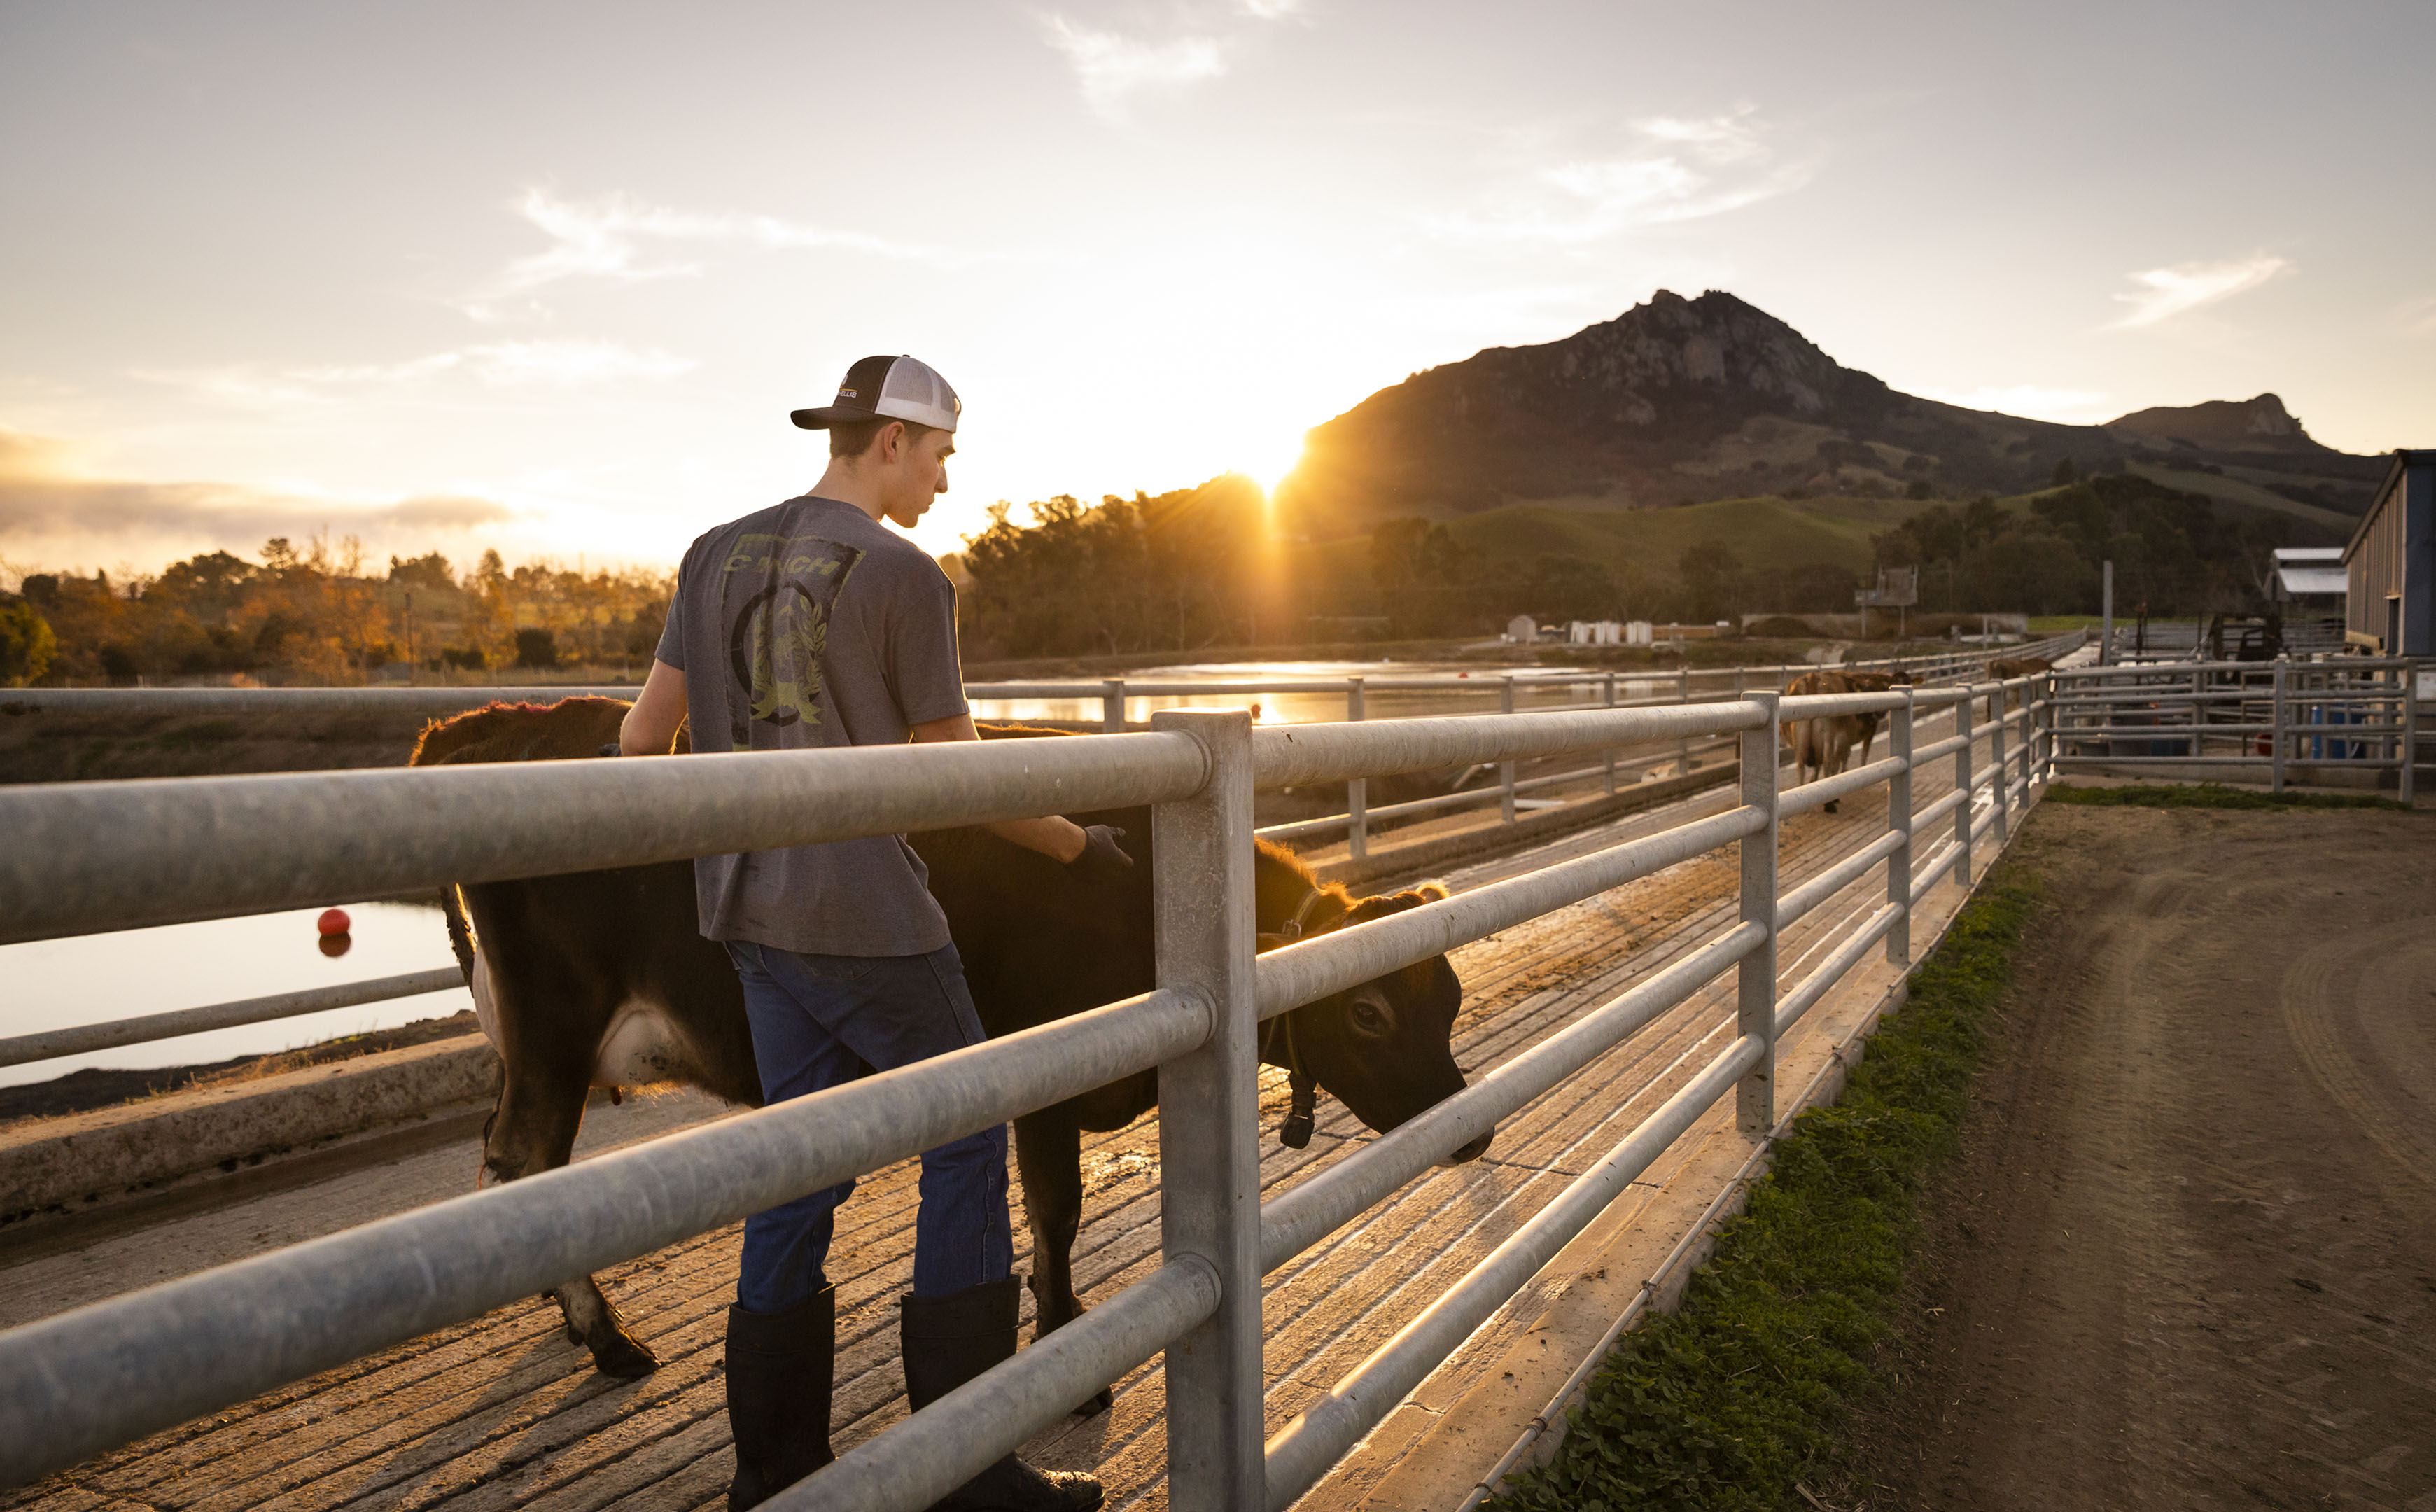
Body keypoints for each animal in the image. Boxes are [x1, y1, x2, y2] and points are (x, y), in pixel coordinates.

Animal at [412, 696, 1490, 1392]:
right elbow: (1056, 1214)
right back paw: (606, 1340)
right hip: (555, 1021)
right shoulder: (1045, 1078)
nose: (1474, 1129)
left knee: (510, 1170)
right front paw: (1066, 1343)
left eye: (1448, 999)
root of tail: (478, 728)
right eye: (1367, 1013)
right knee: (521, 1162)